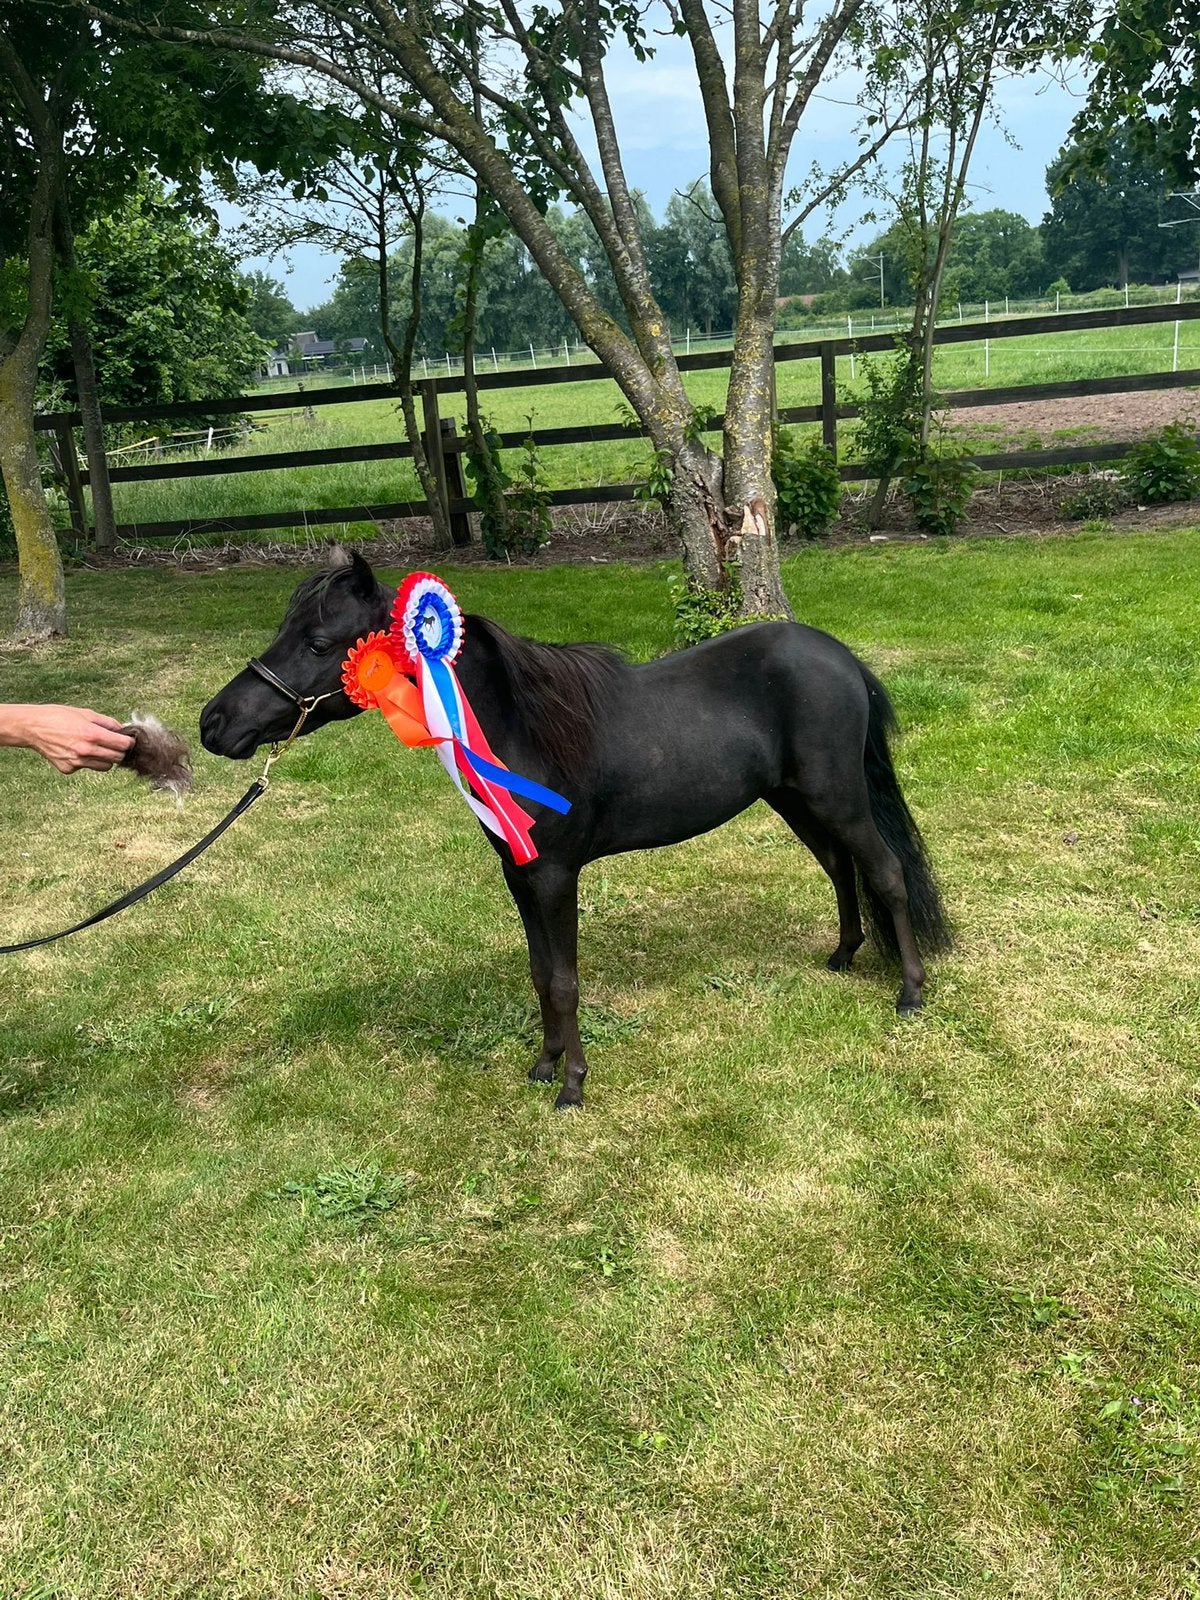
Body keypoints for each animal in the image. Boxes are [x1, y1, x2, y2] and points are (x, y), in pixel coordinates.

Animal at [200, 547, 950, 1109]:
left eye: (318, 642)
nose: (215, 723)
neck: (521, 725)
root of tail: (838, 656)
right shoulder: (520, 871)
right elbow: (540, 973)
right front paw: (542, 1065)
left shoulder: (556, 875)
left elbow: (564, 979)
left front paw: (572, 1087)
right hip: (797, 801)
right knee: (840, 868)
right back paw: (844, 955)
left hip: (837, 798)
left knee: (883, 870)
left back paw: (910, 993)